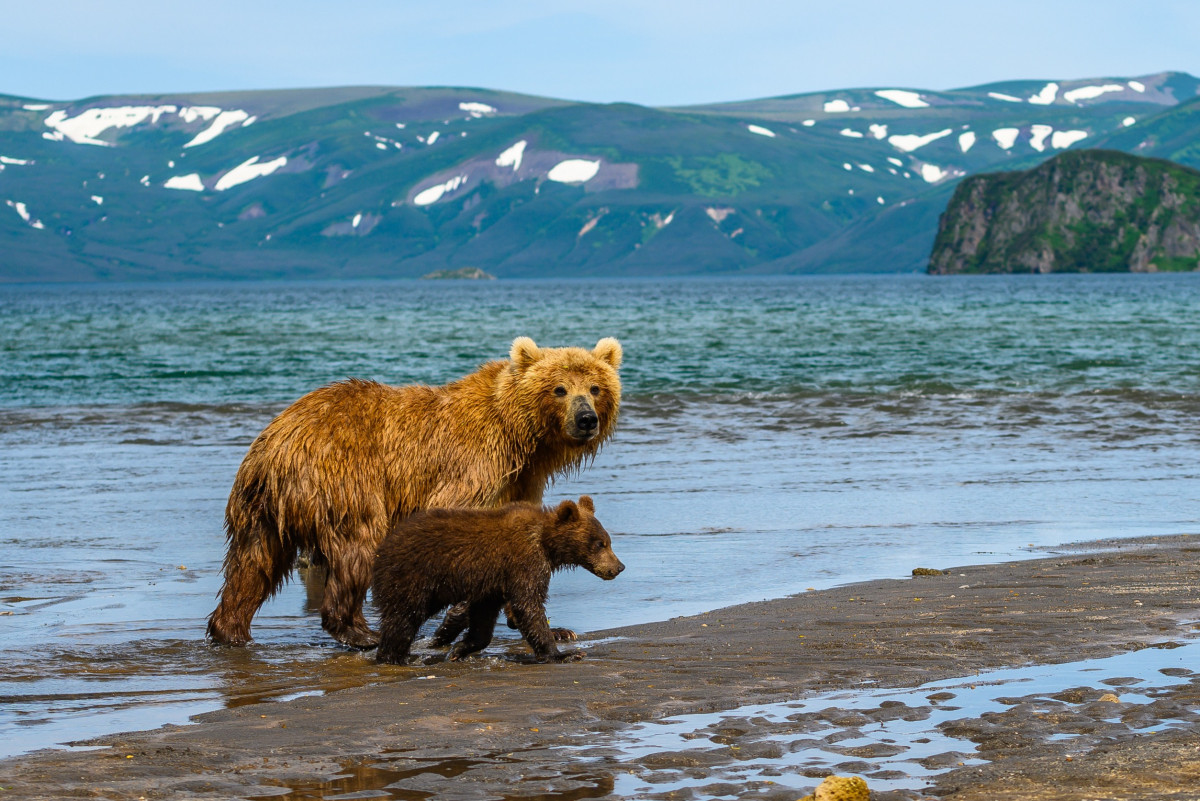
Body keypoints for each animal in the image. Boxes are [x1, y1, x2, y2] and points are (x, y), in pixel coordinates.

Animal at [207, 335, 624, 647]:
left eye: (595, 387)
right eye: (559, 389)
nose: (586, 419)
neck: (520, 436)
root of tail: (277, 439)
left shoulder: (521, 479)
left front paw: (558, 628)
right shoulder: (473, 465)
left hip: (259, 507)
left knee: (252, 564)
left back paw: (231, 630)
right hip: (341, 479)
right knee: (358, 546)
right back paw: (361, 632)